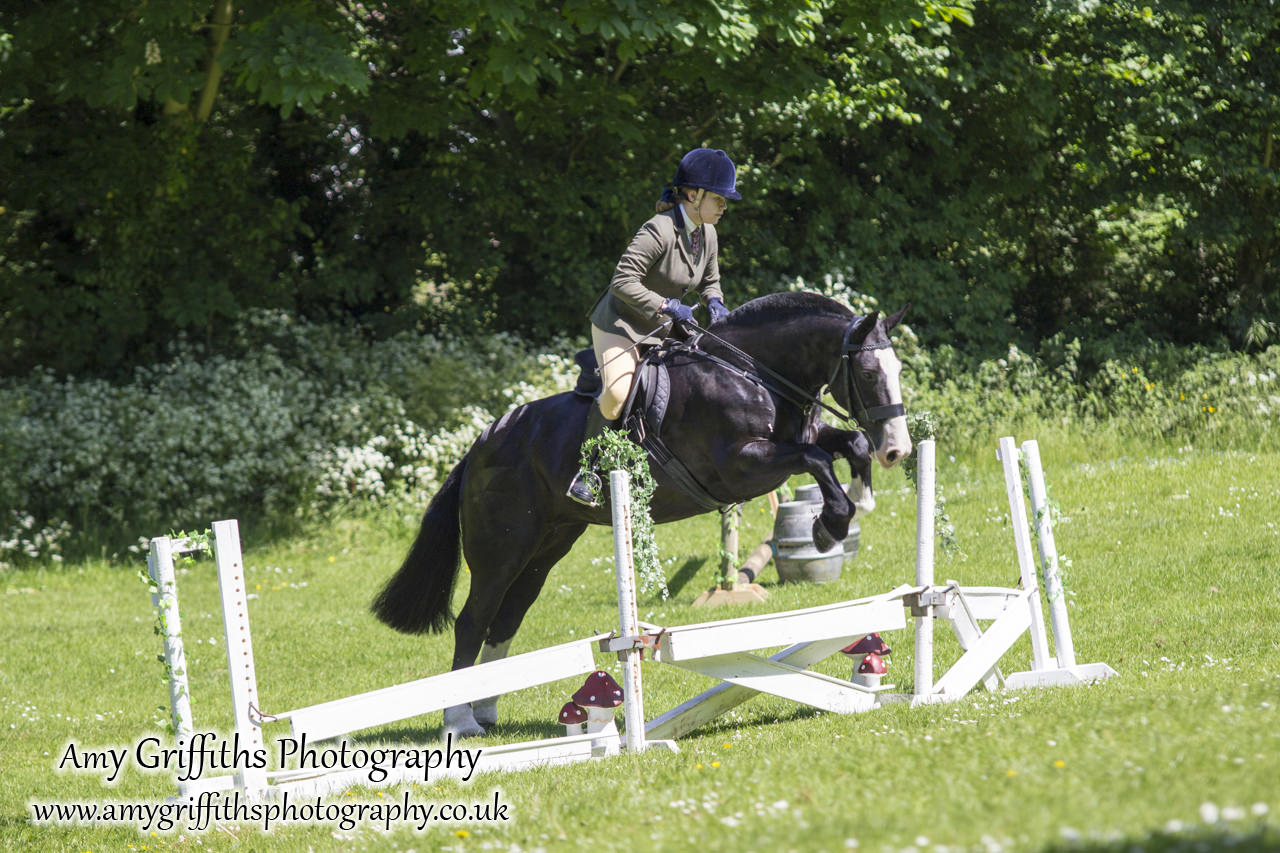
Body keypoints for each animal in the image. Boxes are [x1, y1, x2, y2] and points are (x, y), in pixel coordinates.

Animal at [371, 290, 911, 732]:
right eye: (867, 373)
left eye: (899, 371)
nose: (898, 450)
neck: (754, 373)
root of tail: (480, 445)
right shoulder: (741, 466)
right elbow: (816, 457)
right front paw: (829, 525)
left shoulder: (795, 441)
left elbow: (845, 444)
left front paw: (858, 500)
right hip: (500, 550)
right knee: (472, 621)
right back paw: (459, 721)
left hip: (546, 548)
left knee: (506, 619)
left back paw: (485, 710)